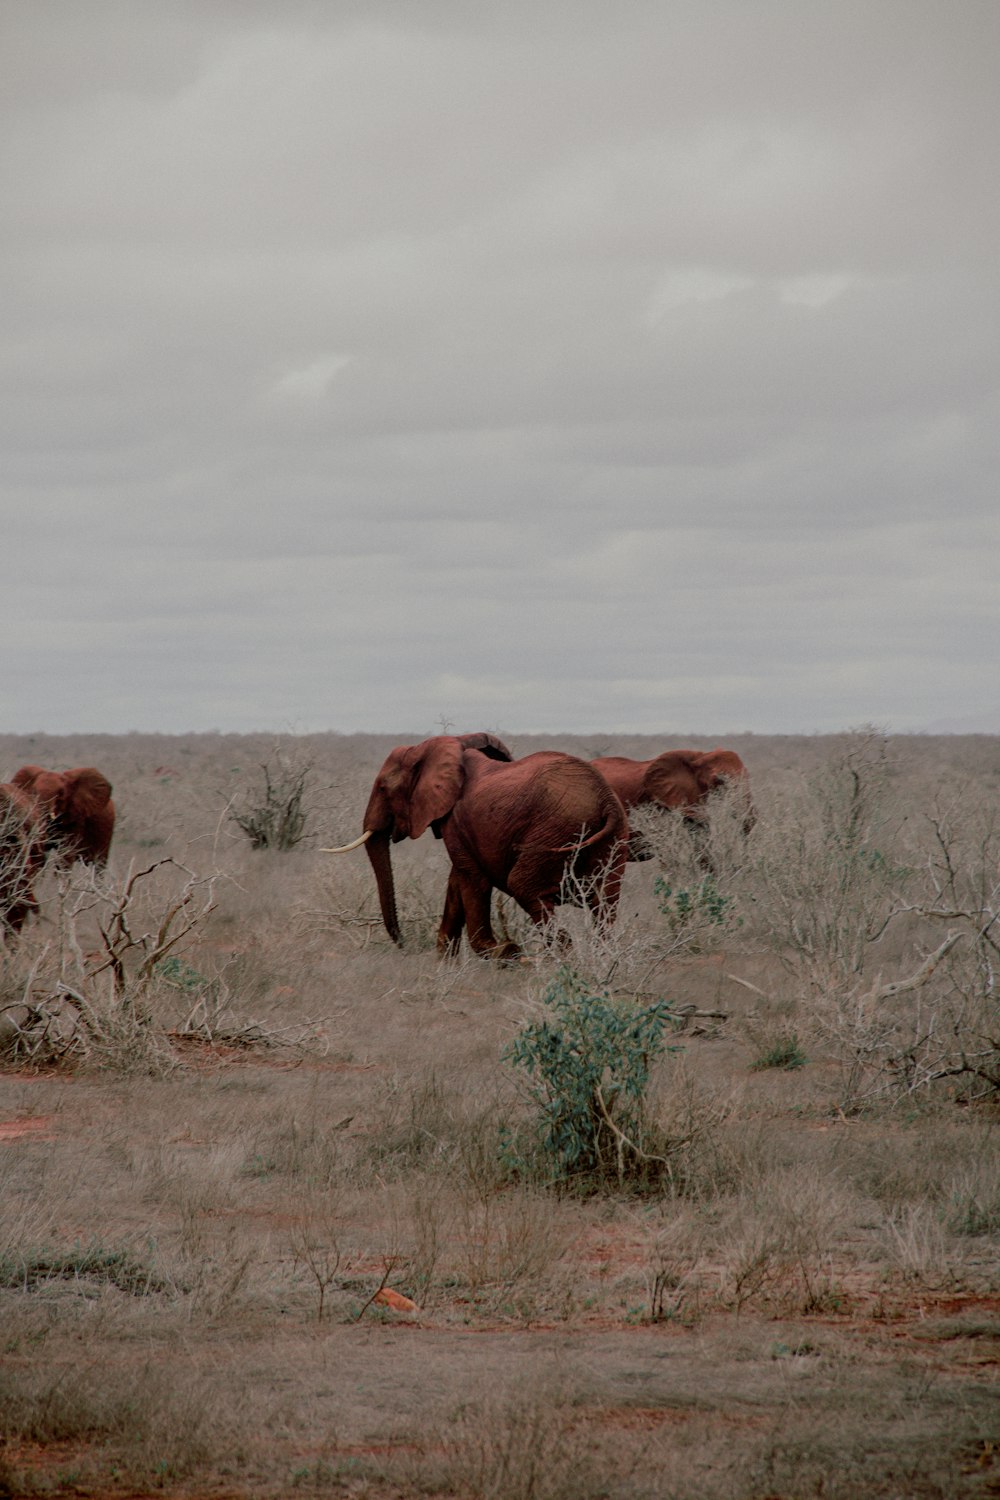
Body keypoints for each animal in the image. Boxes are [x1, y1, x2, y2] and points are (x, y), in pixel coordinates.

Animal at [328, 738, 626, 960]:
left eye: (382, 787)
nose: (403, 944)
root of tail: (605, 799)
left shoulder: (456, 818)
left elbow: (472, 881)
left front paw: (506, 952)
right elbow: (456, 882)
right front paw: (445, 962)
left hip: (555, 830)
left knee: (524, 886)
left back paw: (564, 964)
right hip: (613, 837)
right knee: (604, 902)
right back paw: (603, 961)